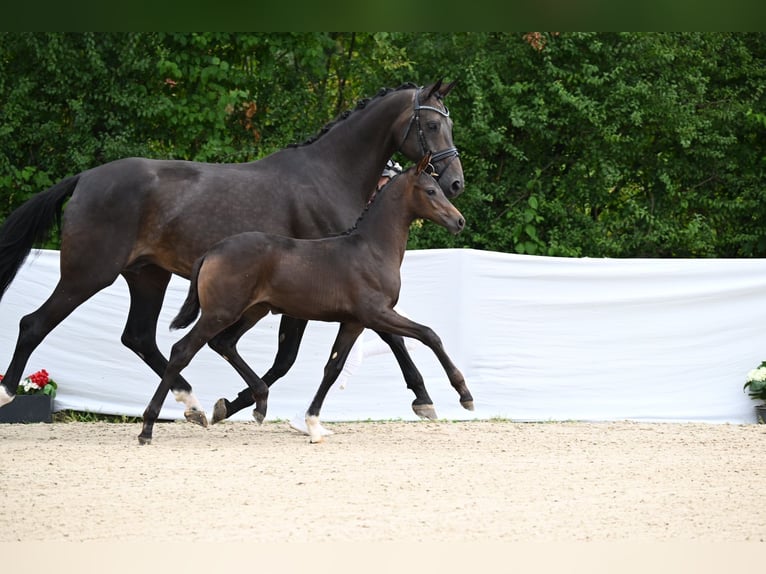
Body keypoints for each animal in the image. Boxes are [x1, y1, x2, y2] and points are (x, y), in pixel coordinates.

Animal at [139, 154, 474, 446]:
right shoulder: (377, 313)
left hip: (253, 311)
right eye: (430, 191)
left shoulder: (353, 322)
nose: (459, 221)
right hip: (220, 312)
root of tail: (211, 252)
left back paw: (258, 403)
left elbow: (332, 368)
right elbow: (429, 334)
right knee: (182, 351)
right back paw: (149, 427)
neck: (371, 249)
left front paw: (313, 424)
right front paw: (463, 394)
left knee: (224, 344)